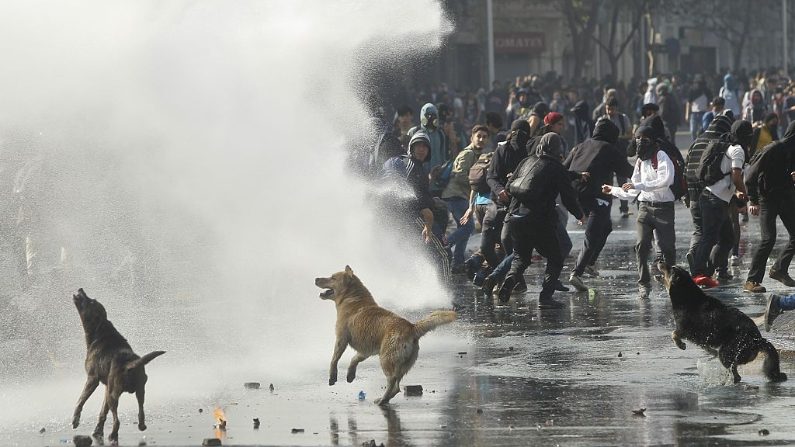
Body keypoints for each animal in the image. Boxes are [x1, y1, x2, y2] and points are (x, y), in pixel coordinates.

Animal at [71, 288, 165, 442]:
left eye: (91, 302)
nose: (81, 289)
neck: (99, 331)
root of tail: (129, 363)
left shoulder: (92, 379)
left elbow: (80, 400)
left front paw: (75, 420)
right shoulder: (106, 387)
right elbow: (102, 412)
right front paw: (97, 431)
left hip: (113, 395)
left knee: (117, 420)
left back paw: (113, 435)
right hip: (139, 390)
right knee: (141, 412)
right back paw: (140, 425)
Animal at [316, 266, 458, 406]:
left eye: (333, 277)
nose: (316, 278)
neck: (352, 298)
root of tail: (412, 327)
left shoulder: (341, 338)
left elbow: (334, 359)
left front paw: (332, 377)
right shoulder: (366, 350)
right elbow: (354, 359)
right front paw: (350, 375)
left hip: (386, 359)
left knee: (393, 383)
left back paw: (382, 400)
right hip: (403, 365)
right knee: (397, 387)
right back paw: (384, 399)